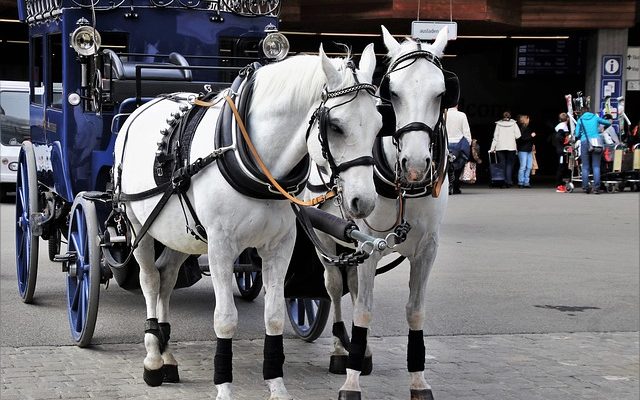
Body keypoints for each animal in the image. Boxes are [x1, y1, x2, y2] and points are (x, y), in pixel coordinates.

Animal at [111, 44, 380, 400]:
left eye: (379, 124)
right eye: (335, 125)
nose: (364, 202)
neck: (253, 159)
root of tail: (139, 109)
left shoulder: (279, 246)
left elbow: (275, 316)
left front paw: (277, 386)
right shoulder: (221, 247)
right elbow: (225, 319)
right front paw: (224, 388)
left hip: (180, 235)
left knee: (167, 277)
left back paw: (167, 353)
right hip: (137, 225)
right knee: (150, 281)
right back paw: (154, 358)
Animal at [308, 26, 452, 398]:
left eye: (441, 93)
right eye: (393, 94)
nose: (415, 165)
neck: (404, 189)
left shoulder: (428, 249)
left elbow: (415, 312)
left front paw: (418, 380)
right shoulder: (368, 244)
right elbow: (363, 311)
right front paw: (351, 381)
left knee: (353, 284)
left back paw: (363, 353)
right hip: (327, 240)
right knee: (334, 286)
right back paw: (341, 351)